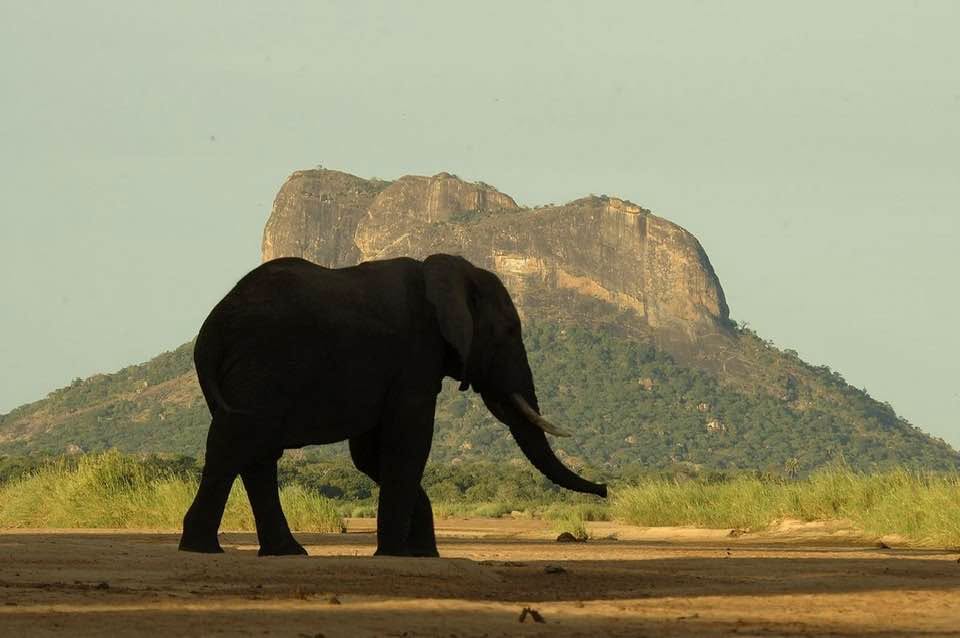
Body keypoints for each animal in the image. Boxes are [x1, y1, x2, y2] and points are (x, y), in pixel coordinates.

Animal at [179, 253, 607, 558]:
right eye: (509, 331)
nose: (604, 488)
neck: (445, 270)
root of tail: (210, 329)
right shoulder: (414, 354)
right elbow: (408, 441)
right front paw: (398, 554)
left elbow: (371, 453)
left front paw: (424, 555)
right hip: (261, 364)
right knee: (238, 440)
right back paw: (203, 548)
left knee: (256, 450)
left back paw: (286, 552)